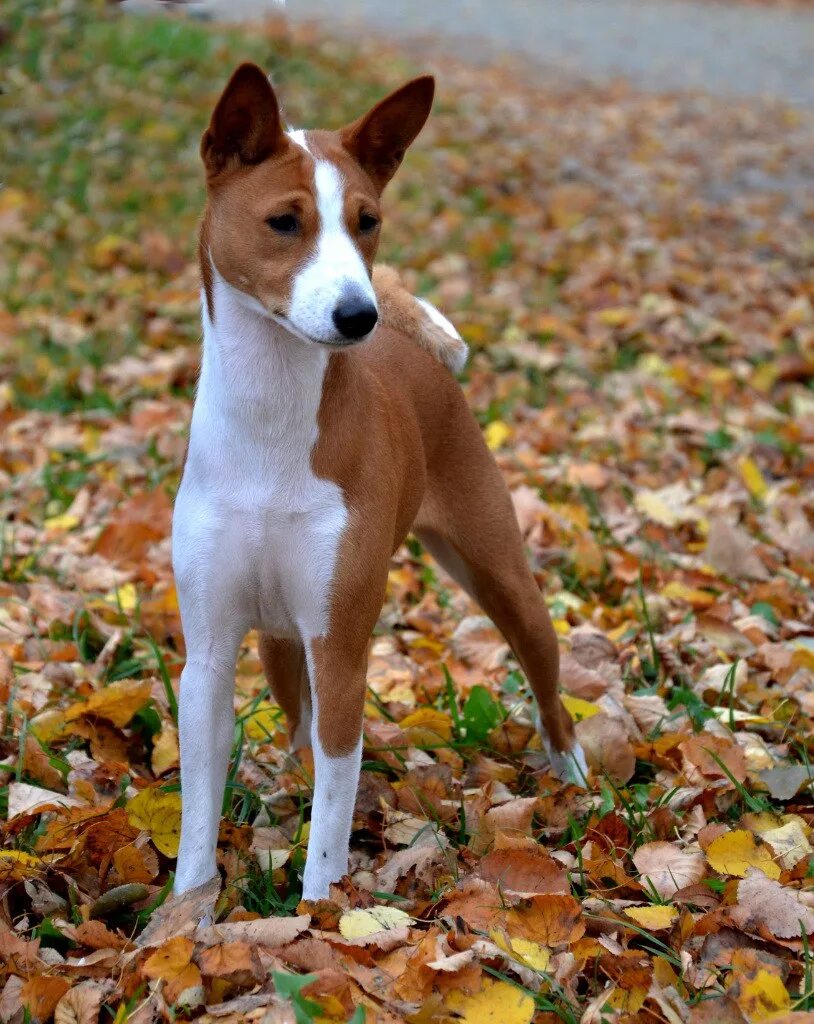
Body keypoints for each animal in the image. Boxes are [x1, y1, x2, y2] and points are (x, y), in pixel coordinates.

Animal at [175, 64, 589, 901]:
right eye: (283, 222)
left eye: (367, 221)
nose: (357, 315)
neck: (269, 430)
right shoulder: (207, 657)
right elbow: (199, 826)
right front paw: (185, 916)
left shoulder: (342, 650)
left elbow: (331, 831)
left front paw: (319, 917)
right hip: (279, 644)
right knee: (299, 730)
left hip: (500, 577)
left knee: (547, 683)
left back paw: (575, 778)